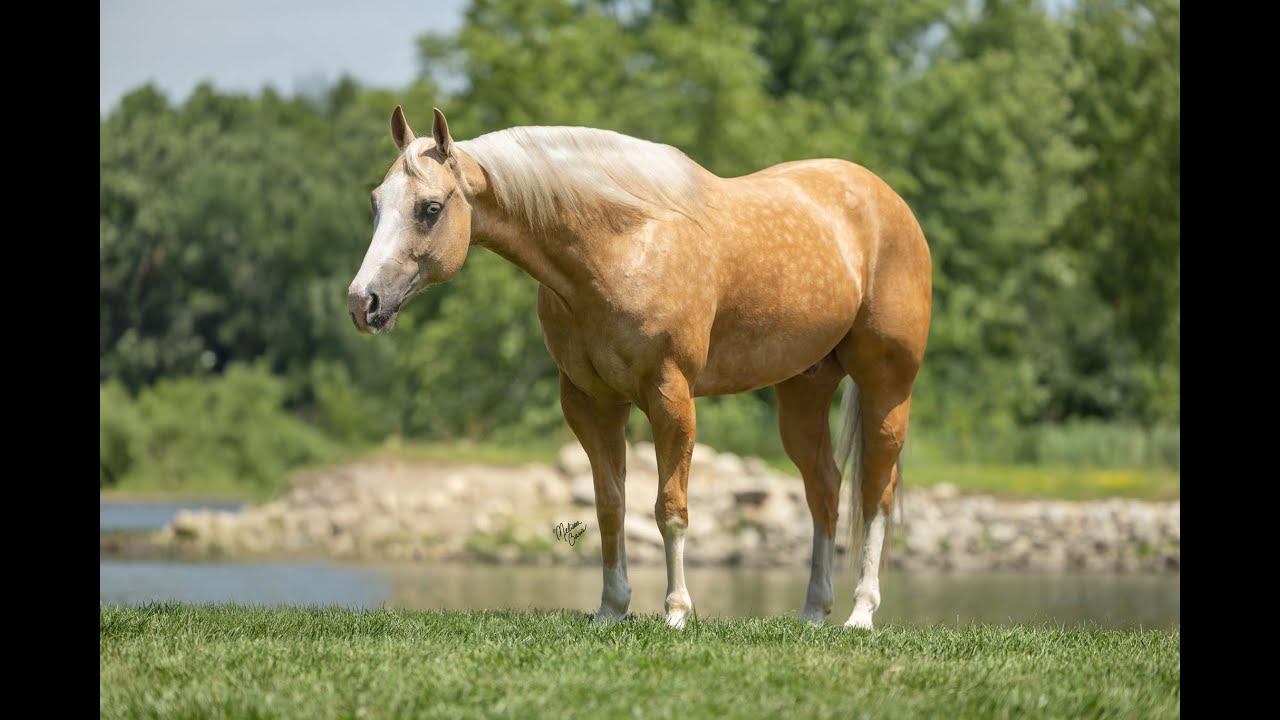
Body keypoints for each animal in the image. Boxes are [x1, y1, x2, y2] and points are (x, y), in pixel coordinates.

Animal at [348, 107, 931, 629]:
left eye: (429, 207)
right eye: (376, 202)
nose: (362, 302)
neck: (619, 244)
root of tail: (888, 202)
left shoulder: (670, 396)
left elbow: (670, 507)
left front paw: (676, 613)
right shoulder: (591, 403)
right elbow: (611, 505)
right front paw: (611, 609)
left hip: (888, 385)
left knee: (875, 492)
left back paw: (860, 615)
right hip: (804, 389)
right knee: (825, 489)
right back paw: (813, 613)